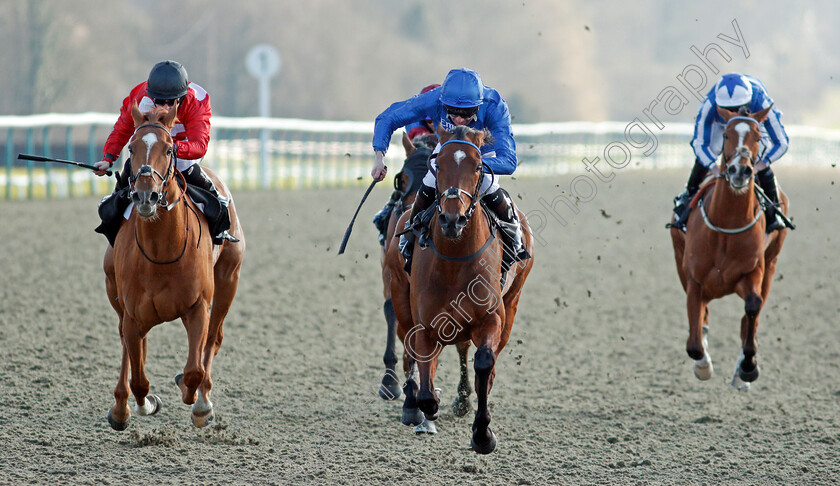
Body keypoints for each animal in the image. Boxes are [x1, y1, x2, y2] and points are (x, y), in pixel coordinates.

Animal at [103, 103, 244, 430]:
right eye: (131, 147)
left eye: (169, 149)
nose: (146, 195)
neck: (161, 252)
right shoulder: (132, 313)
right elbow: (138, 378)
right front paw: (142, 404)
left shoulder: (197, 306)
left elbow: (193, 370)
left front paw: (198, 403)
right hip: (113, 289)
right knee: (127, 346)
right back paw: (120, 407)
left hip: (228, 281)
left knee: (213, 340)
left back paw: (202, 397)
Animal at [386, 125, 532, 452]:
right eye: (438, 165)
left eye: (478, 166)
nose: (453, 219)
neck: (455, 260)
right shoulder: (426, 322)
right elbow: (426, 386)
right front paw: (425, 407)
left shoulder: (491, 317)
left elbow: (484, 362)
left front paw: (483, 434)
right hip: (400, 293)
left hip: (513, 301)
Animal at [668, 106, 788, 392]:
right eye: (726, 135)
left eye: (758, 135)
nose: (739, 171)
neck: (726, 223)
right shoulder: (694, 279)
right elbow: (694, 343)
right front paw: (703, 366)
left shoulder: (752, 272)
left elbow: (753, 308)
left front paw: (748, 367)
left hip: (772, 262)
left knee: (752, 315)